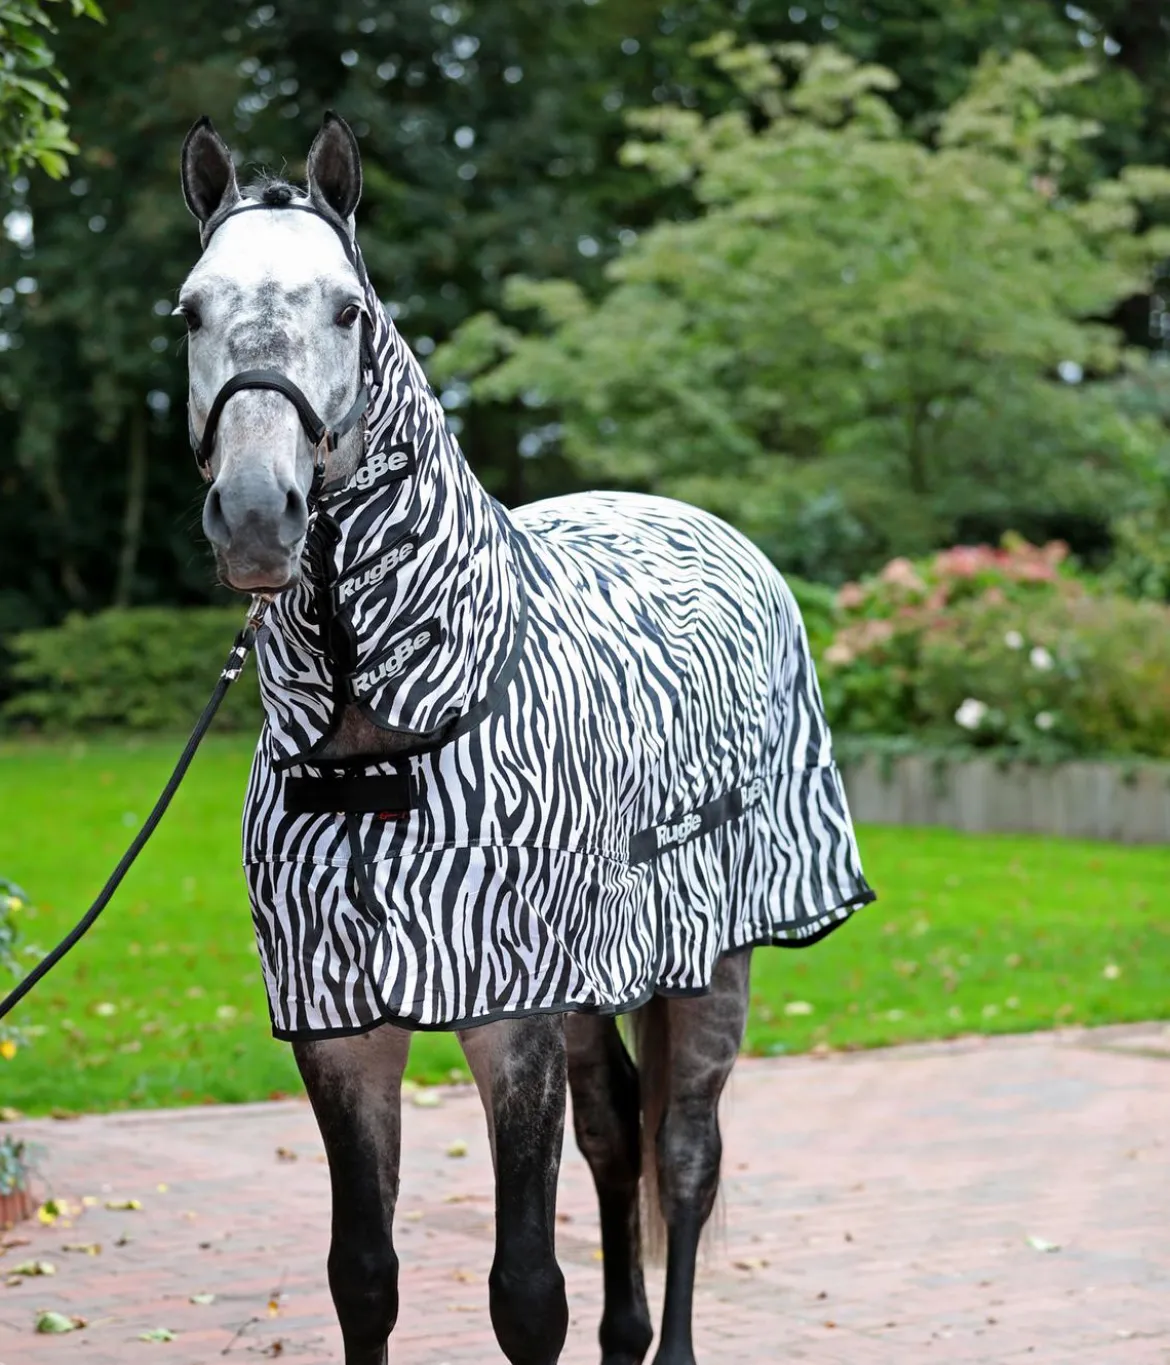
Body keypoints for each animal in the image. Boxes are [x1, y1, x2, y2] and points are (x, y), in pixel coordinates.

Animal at [178, 111, 874, 1365]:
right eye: (192, 312)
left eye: (346, 310)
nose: (257, 516)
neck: (384, 744)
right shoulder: (340, 1027)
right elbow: (363, 1275)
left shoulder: (510, 1018)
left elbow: (524, 1291)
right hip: (593, 980)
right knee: (617, 1133)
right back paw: (626, 1336)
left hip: (716, 961)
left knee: (683, 1156)